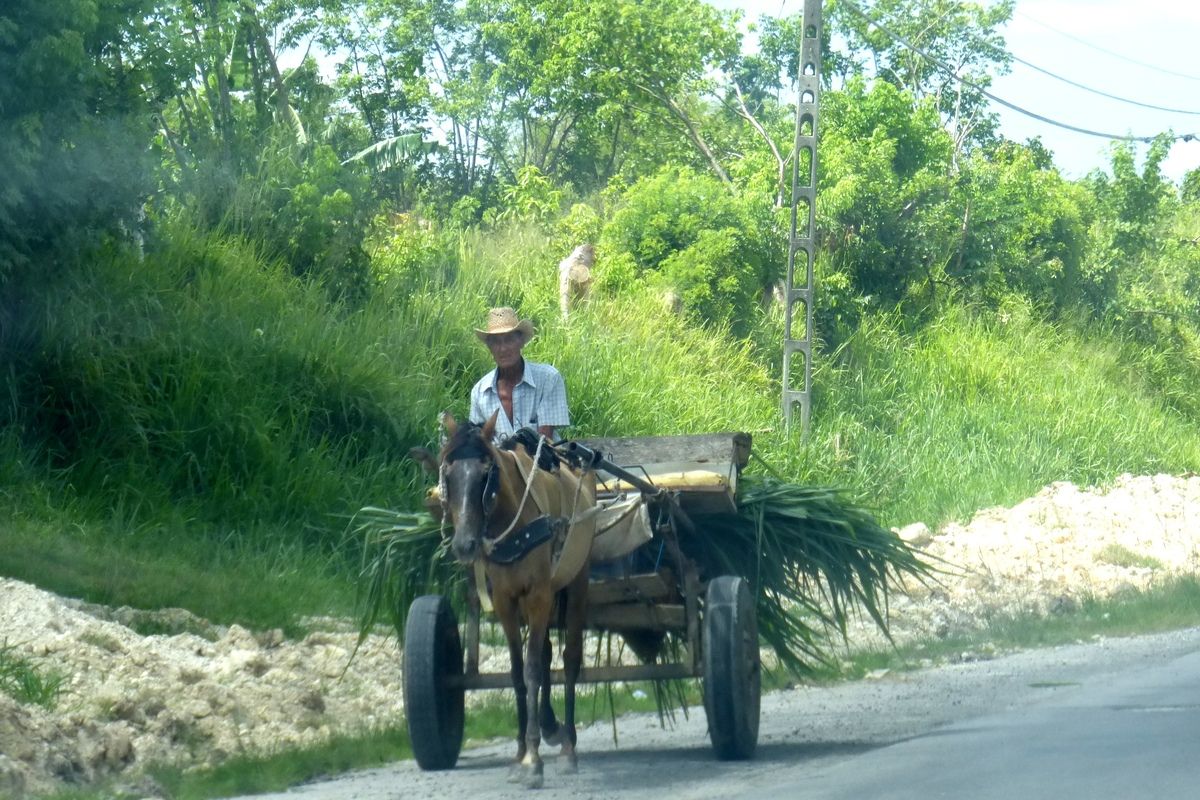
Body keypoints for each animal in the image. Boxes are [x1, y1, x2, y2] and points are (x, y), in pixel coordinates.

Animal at [438, 412, 594, 788]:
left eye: (486, 474)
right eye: (447, 474)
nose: (465, 545)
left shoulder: (538, 595)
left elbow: (534, 671)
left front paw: (533, 760)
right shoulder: (506, 601)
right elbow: (516, 672)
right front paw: (520, 752)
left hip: (576, 584)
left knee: (569, 660)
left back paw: (568, 747)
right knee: (548, 653)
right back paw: (552, 727)